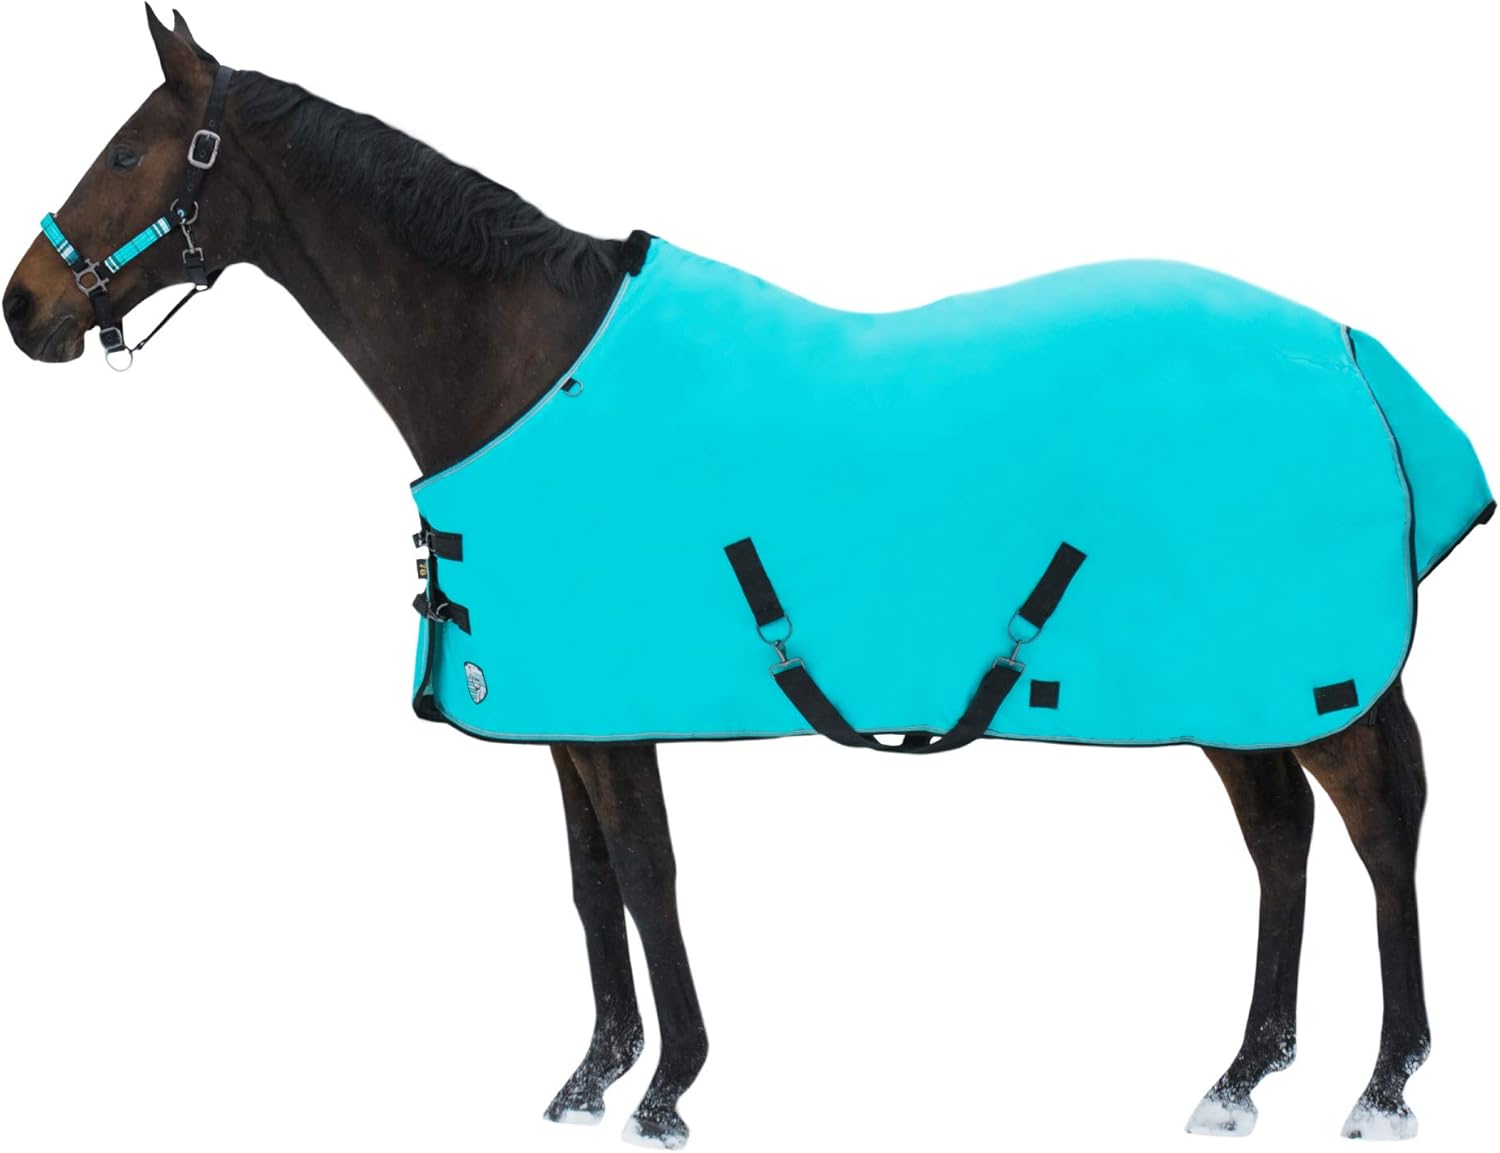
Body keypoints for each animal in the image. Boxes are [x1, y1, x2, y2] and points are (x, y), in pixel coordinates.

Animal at [5, 8, 1491, 1147]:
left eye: (129, 149)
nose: (26, 309)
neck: (525, 364)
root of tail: (1351, 346)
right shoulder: (567, 711)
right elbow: (588, 877)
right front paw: (592, 1074)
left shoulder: (616, 711)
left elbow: (648, 871)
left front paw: (666, 1087)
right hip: (1231, 693)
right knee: (1281, 838)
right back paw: (1242, 1079)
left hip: (1298, 683)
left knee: (1378, 824)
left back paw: (1383, 1085)